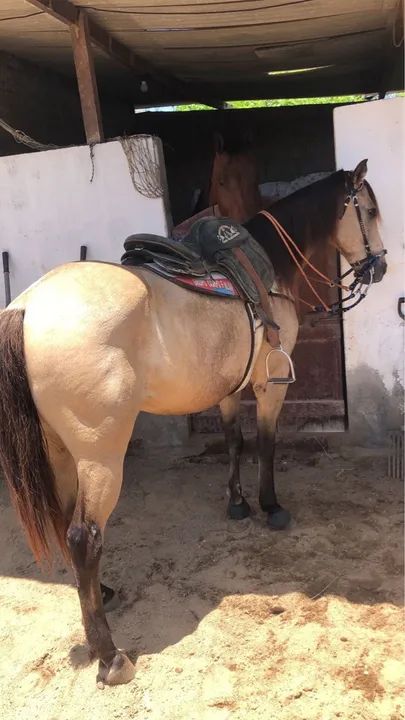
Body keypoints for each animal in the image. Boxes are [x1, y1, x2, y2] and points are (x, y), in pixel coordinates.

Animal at [0, 160, 386, 686]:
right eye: (368, 210)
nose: (381, 265)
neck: (267, 268)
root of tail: (27, 306)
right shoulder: (270, 386)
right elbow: (266, 444)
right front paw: (270, 506)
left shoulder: (227, 389)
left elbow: (234, 441)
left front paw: (238, 503)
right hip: (101, 456)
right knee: (84, 536)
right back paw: (110, 656)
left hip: (56, 448)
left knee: (65, 522)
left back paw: (106, 593)